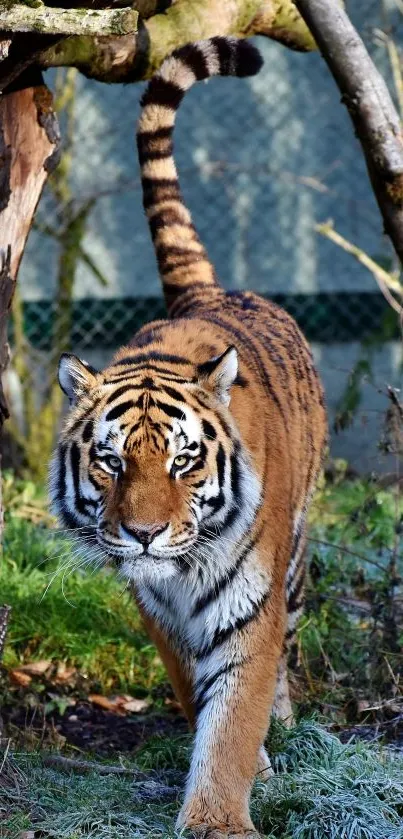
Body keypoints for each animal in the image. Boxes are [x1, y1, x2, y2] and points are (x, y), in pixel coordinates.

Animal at [50, 37, 328, 839]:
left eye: (182, 461)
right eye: (109, 462)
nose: (143, 535)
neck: (180, 573)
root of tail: (207, 292)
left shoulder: (250, 607)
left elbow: (234, 713)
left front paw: (217, 818)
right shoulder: (158, 610)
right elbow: (197, 692)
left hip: (296, 563)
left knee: (287, 650)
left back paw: (284, 730)